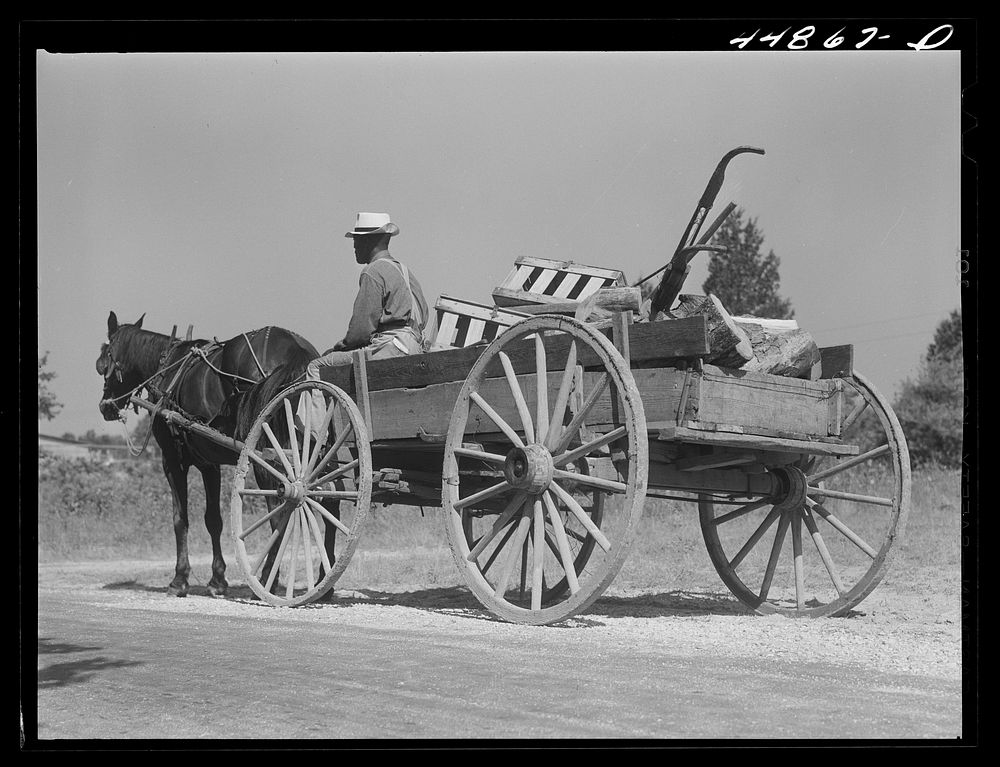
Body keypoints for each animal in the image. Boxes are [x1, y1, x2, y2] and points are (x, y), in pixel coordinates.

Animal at [95, 312, 328, 600]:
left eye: (103, 361)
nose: (105, 406)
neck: (167, 368)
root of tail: (294, 348)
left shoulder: (172, 461)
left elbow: (180, 519)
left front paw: (179, 579)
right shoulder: (209, 464)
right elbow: (213, 520)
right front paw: (217, 579)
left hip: (269, 456)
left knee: (282, 511)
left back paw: (267, 581)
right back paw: (323, 583)